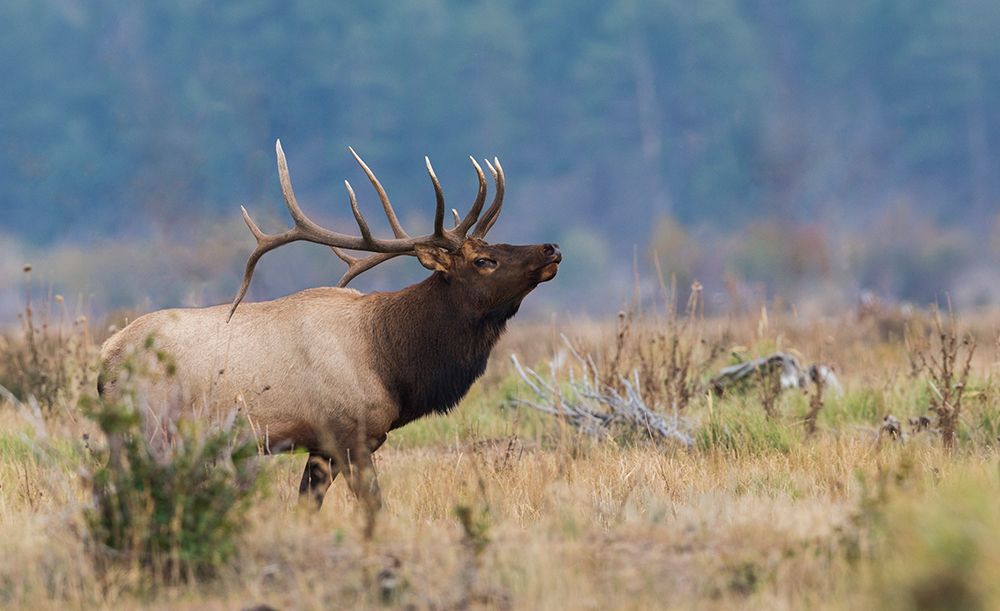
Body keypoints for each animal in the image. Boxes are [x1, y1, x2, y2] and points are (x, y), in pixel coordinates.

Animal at [98, 140, 561, 511]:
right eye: (484, 260)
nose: (551, 247)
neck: (393, 363)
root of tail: (105, 359)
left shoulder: (322, 446)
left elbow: (307, 504)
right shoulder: (349, 434)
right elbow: (374, 505)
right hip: (149, 427)